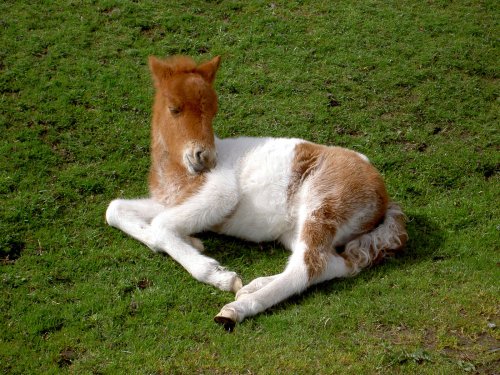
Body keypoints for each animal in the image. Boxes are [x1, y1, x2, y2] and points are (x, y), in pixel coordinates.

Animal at [105, 54, 406, 330]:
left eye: (213, 110)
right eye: (174, 108)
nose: (205, 158)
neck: (177, 174)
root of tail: (384, 195)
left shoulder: (220, 194)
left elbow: (161, 225)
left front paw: (216, 273)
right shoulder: (171, 201)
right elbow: (116, 210)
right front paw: (191, 242)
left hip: (323, 206)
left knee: (308, 266)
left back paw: (236, 309)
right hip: (298, 230)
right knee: (335, 264)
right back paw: (252, 286)